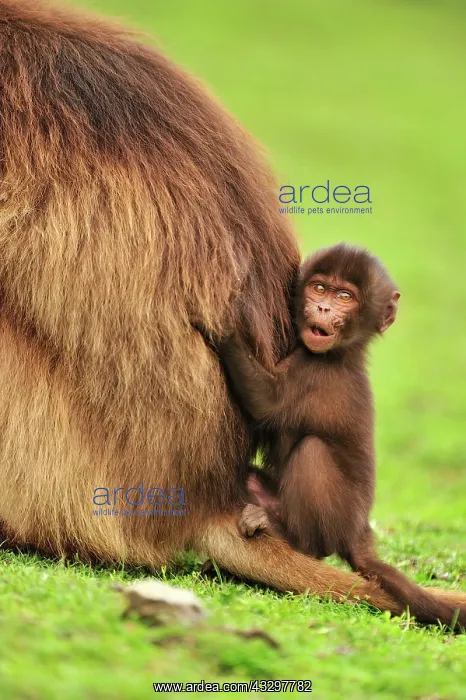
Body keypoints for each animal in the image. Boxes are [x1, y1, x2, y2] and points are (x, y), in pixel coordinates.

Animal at [218, 244, 466, 629]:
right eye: (319, 288)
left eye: (345, 297)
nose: (322, 308)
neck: (341, 353)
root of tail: (357, 530)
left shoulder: (313, 372)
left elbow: (265, 404)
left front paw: (228, 319)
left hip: (333, 516)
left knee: (312, 453)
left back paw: (292, 536)